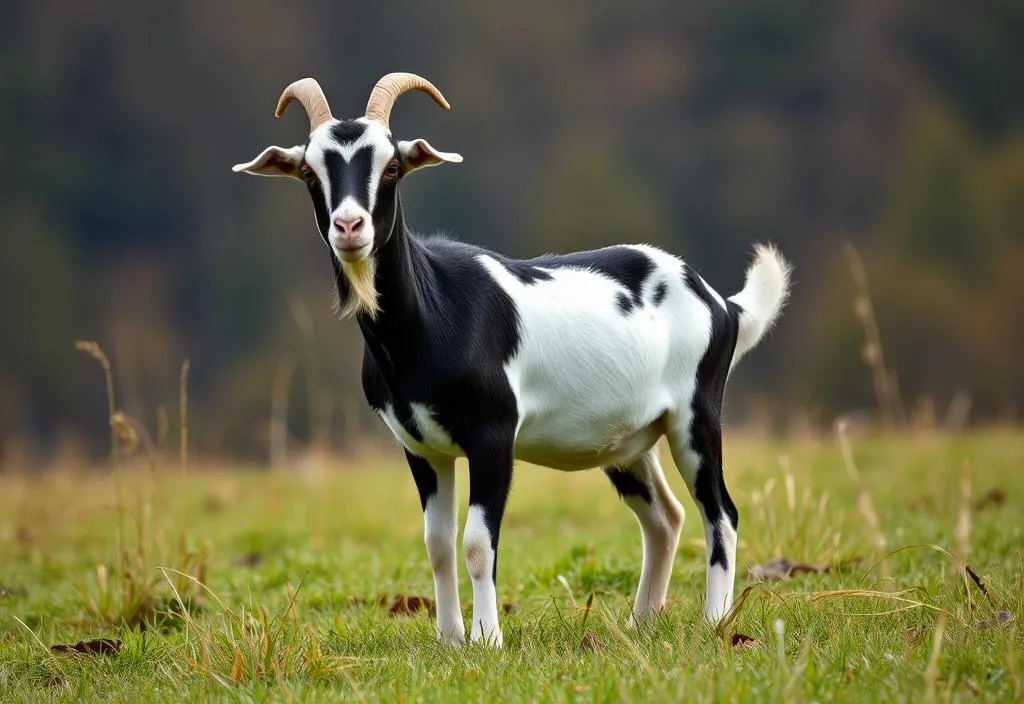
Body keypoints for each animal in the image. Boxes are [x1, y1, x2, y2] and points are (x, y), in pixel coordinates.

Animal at [234, 74, 790, 646]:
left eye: (391, 166)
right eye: (308, 170)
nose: (349, 226)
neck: (433, 312)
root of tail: (722, 303)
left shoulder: (493, 434)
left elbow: (478, 544)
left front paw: (487, 640)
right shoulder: (421, 449)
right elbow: (437, 545)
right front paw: (450, 639)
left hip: (694, 417)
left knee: (720, 512)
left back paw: (716, 620)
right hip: (630, 442)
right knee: (666, 517)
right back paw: (642, 622)